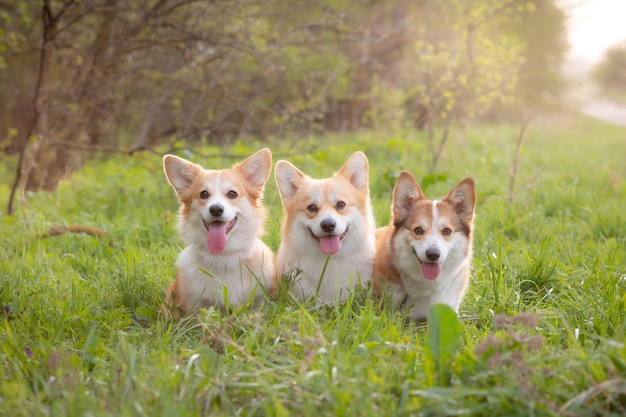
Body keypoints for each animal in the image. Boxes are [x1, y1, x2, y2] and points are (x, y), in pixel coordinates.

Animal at [162, 148, 274, 314]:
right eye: (203, 194)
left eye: (232, 194)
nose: (215, 209)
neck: (224, 257)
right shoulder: (193, 307)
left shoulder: (259, 301)